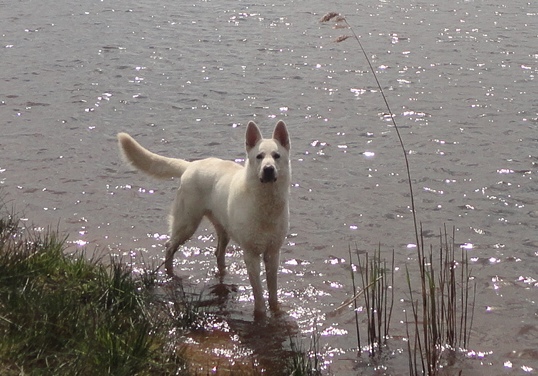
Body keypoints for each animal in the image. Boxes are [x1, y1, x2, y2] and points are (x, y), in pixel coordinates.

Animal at [118, 122, 292, 316]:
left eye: (276, 156)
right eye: (259, 157)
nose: (268, 170)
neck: (266, 204)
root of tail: (190, 165)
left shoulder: (273, 253)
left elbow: (272, 291)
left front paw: (276, 311)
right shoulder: (251, 255)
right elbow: (259, 294)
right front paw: (260, 314)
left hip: (223, 231)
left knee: (218, 254)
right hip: (187, 225)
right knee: (169, 246)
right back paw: (169, 273)